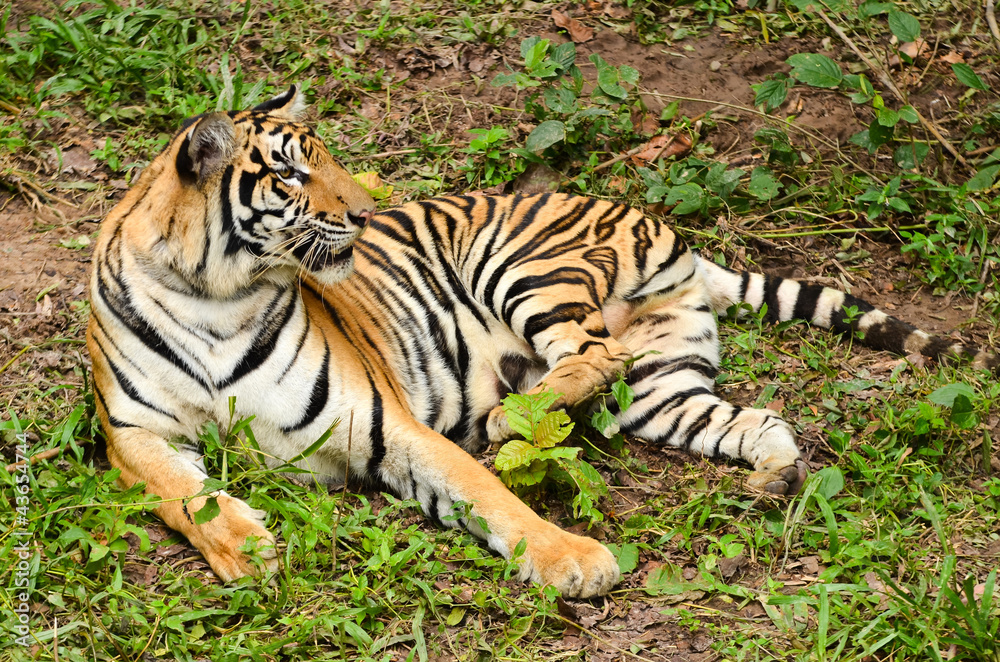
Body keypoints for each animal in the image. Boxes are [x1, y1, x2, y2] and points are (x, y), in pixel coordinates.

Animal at [87, 86, 998, 599]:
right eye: (289, 173)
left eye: (330, 160)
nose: (364, 213)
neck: (217, 293)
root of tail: (664, 226)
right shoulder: (134, 436)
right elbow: (185, 497)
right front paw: (246, 553)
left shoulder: (380, 421)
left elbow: (490, 495)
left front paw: (574, 561)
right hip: (665, 390)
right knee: (745, 415)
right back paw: (772, 479)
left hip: (524, 267)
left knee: (590, 353)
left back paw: (510, 417)